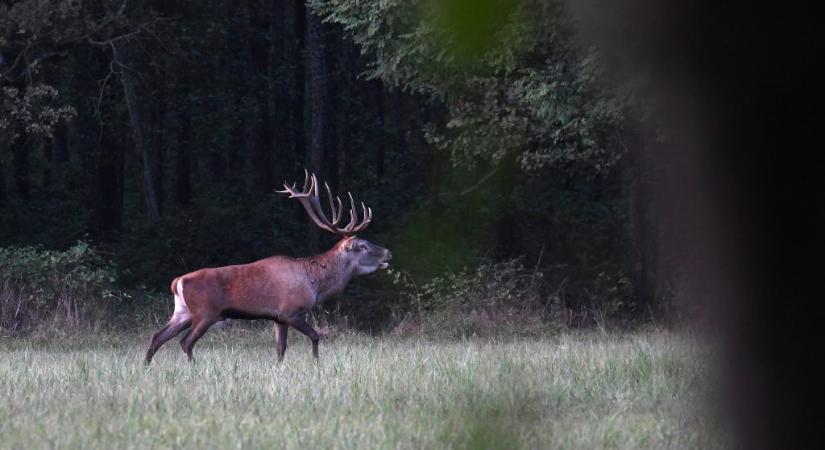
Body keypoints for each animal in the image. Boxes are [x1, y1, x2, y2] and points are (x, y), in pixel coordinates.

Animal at [144, 171, 392, 364]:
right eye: (363, 246)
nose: (388, 252)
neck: (315, 284)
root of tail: (177, 282)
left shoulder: (278, 318)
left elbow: (280, 350)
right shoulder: (291, 311)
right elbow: (315, 336)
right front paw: (316, 364)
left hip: (182, 311)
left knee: (157, 337)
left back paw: (146, 368)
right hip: (206, 312)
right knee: (185, 342)